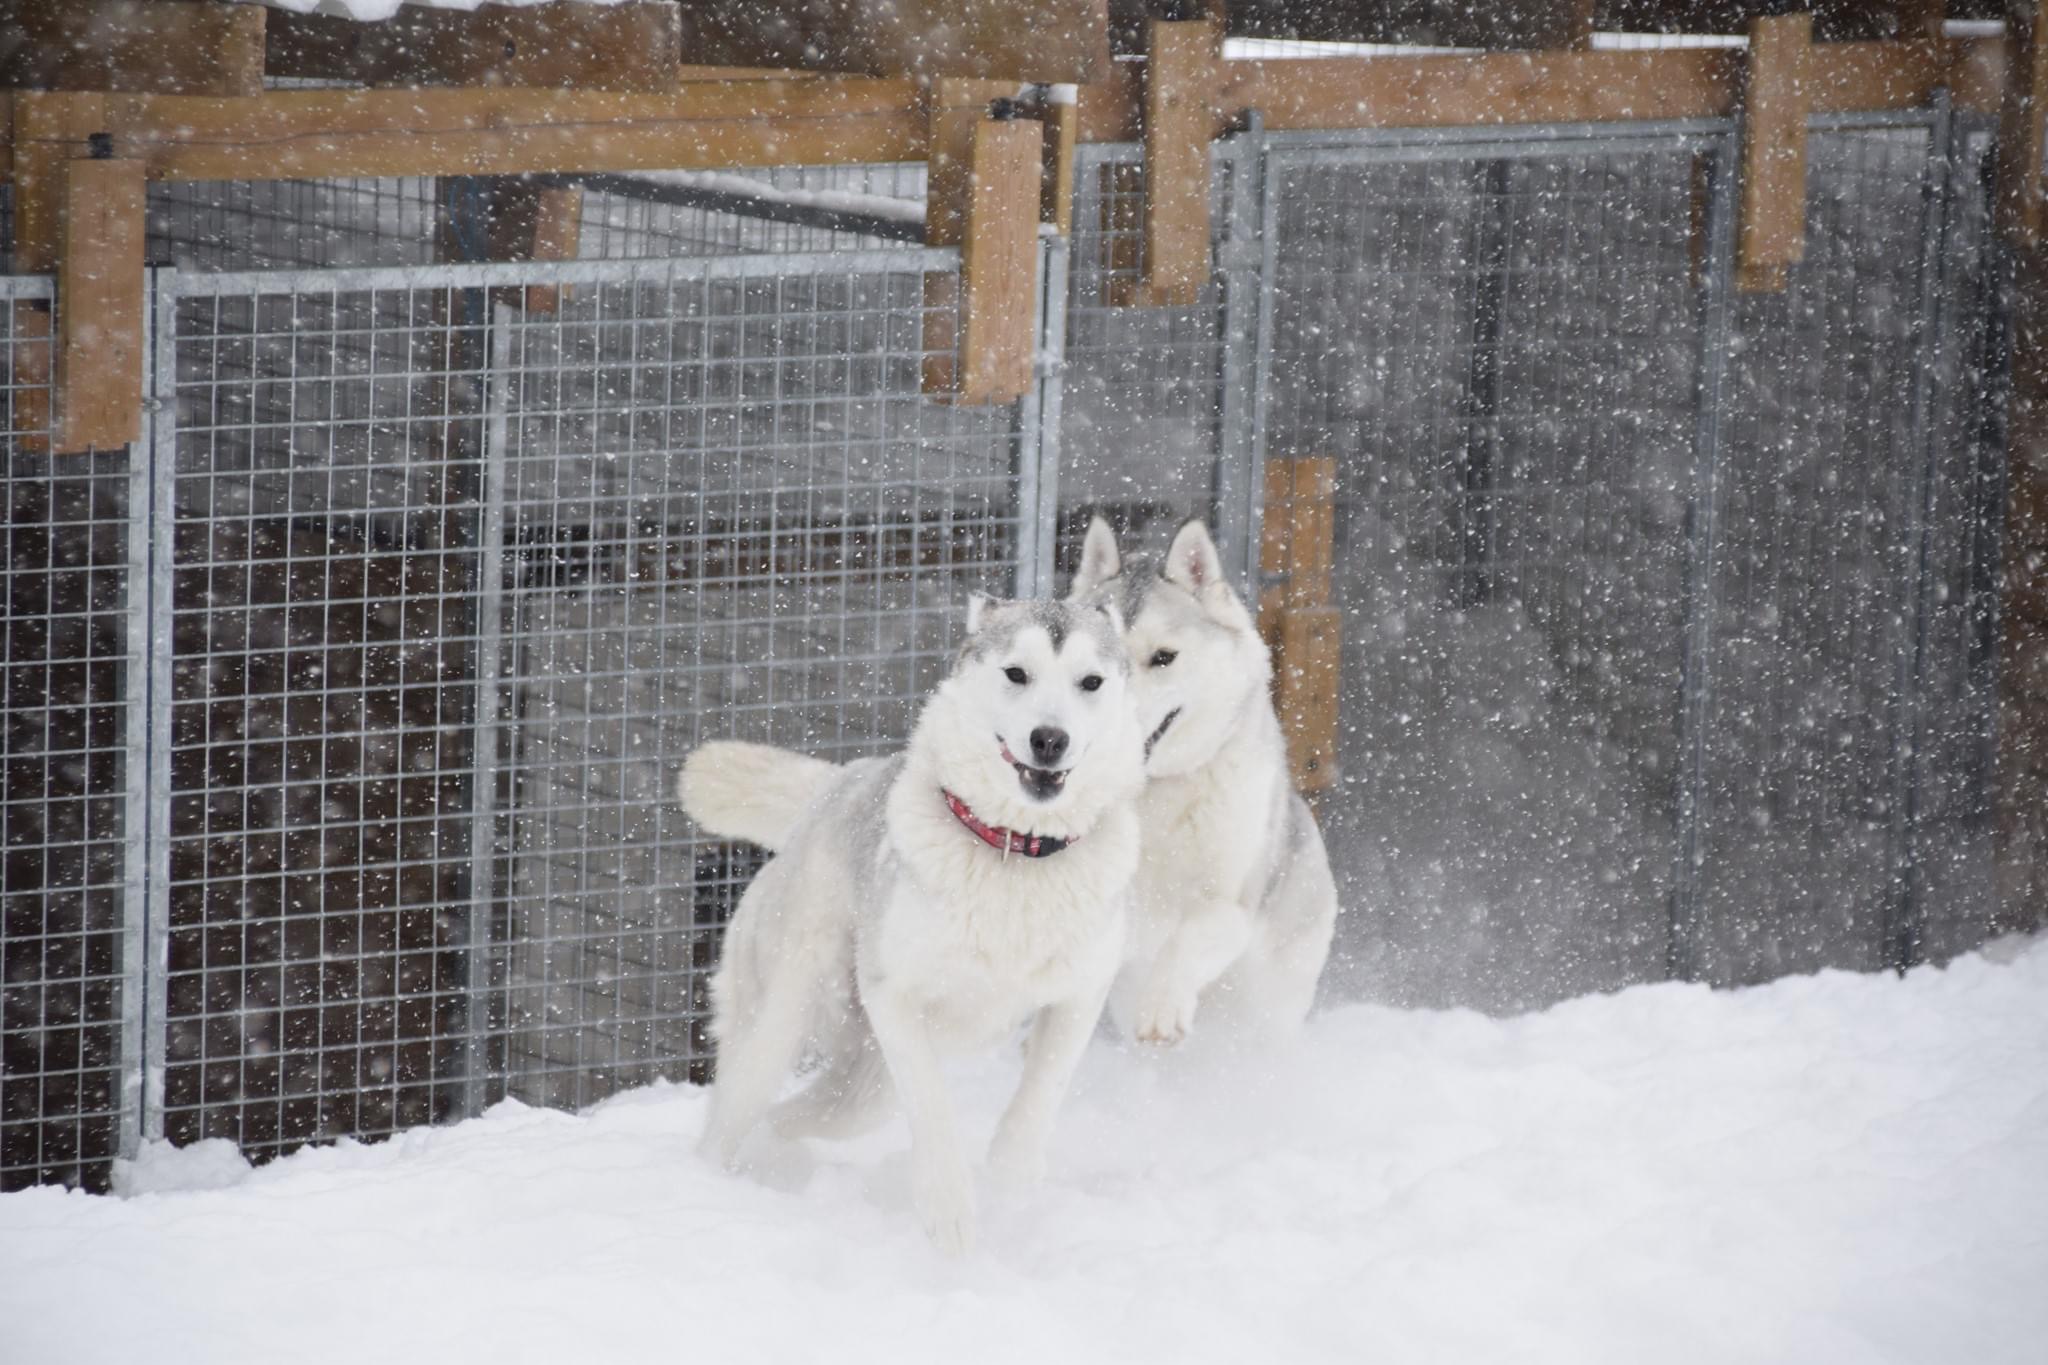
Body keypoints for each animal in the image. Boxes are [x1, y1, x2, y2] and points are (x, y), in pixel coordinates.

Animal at [679, 593, 1146, 1252]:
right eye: (1016, 673)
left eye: (1092, 682)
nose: (1049, 740)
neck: (1016, 852)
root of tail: (835, 785)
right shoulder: (895, 997)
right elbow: (932, 1110)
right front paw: (950, 1218)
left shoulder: (1080, 995)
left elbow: (1039, 1097)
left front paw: (1011, 1183)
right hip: (779, 1028)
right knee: (735, 1113)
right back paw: (716, 1185)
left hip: (862, 1091)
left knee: (794, 1116)